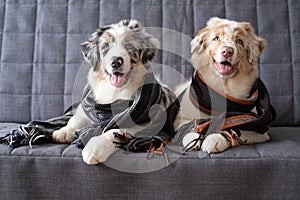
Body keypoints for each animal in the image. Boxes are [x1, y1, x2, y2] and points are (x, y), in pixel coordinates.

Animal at [173, 17, 272, 153]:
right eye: (216, 38)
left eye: (239, 41)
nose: (228, 51)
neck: (223, 87)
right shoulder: (179, 120)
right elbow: (189, 127)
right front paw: (193, 138)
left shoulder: (260, 131)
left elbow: (236, 128)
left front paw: (215, 139)